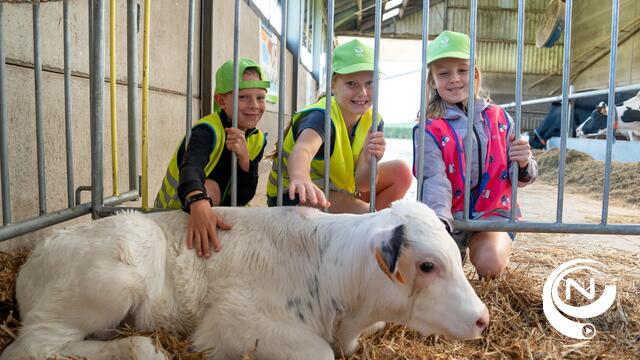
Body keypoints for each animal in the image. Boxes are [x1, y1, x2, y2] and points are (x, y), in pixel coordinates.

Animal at [1, 201, 490, 358]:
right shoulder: (233, 322)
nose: (483, 318)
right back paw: (143, 350)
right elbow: (317, 353)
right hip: (115, 276)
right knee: (31, 348)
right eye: (426, 266)